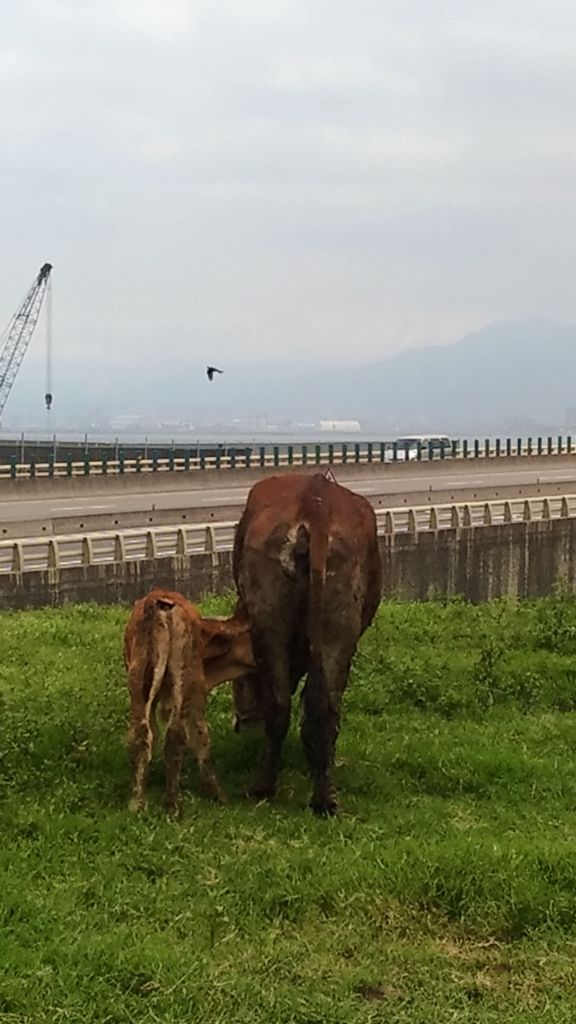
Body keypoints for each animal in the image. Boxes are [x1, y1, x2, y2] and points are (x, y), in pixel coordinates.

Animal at [124, 593, 254, 815]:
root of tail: (160, 603)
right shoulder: (196, 695)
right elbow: (201, 739)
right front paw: (216, 794)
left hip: (139, 682)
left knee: (142, 734)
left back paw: (137, 803)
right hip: (183, 678)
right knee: (175, 735)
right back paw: (172, 804)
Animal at [230, 471, 379, 815]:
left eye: (240, 681)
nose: (242, 725)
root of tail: (315, 504)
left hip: (277, 619)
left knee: (291, 706)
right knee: (310, 705)